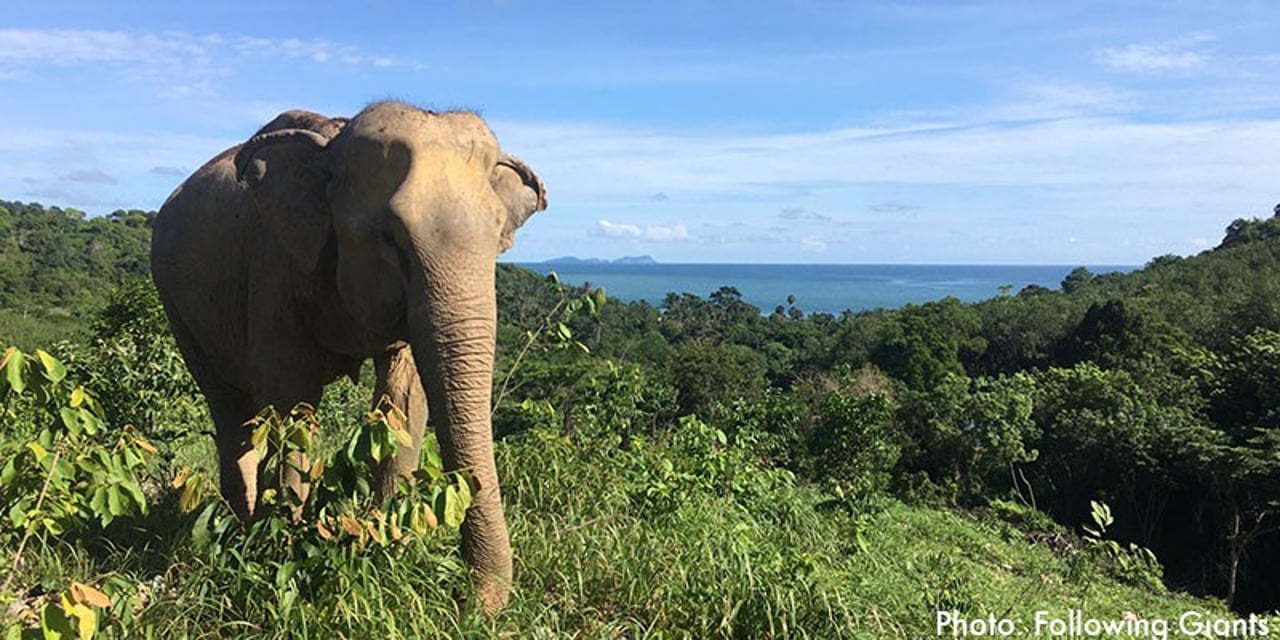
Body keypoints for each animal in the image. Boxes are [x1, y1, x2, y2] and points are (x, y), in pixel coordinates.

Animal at [149, 101, 545, 609]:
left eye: (499, 236)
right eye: (390, 238)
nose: (469, 602)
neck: (331, 147)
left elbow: (404, 399)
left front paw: (391, 547)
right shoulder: (273, 266)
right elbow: (292, 394)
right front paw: (284, 552)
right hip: (175, 303)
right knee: (229, 408)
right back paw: (239, 528)